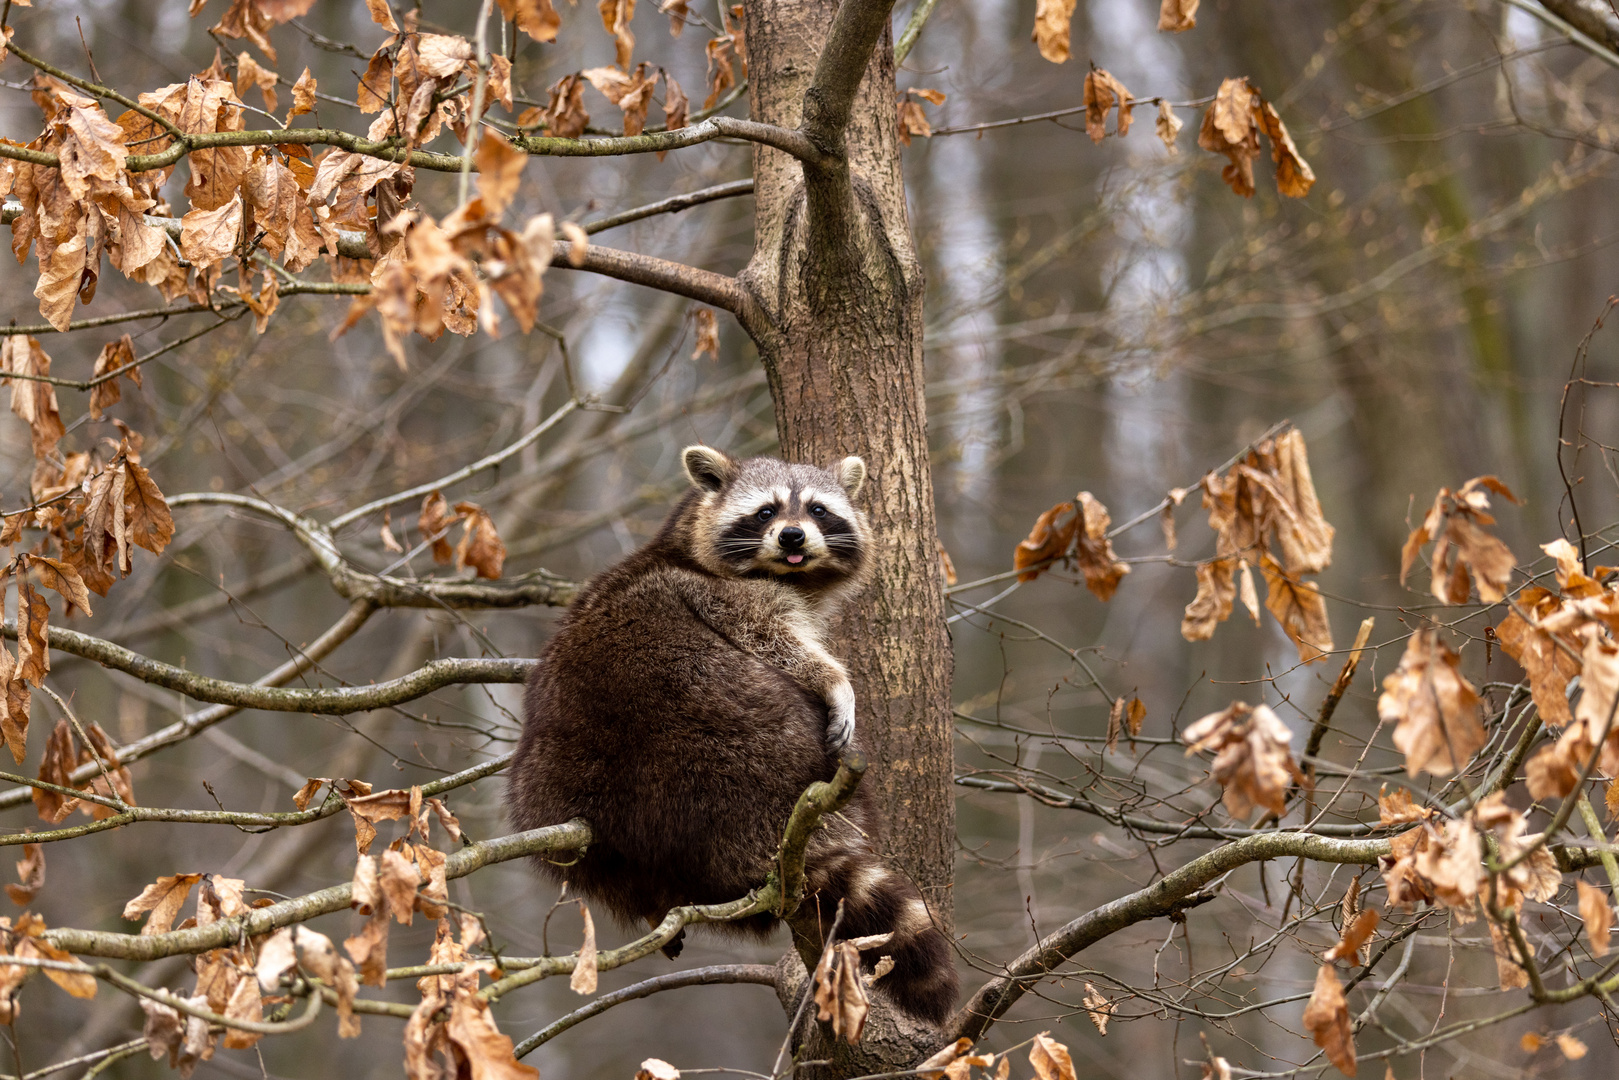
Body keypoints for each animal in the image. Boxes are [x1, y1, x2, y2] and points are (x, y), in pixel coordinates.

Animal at [511, 446, 951, 1023]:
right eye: (766, 512)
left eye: (817, 510)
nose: (792, 537)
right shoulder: (730, 598)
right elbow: (778, 644)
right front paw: (835, 680)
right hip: (748, 752)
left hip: (550, 793)